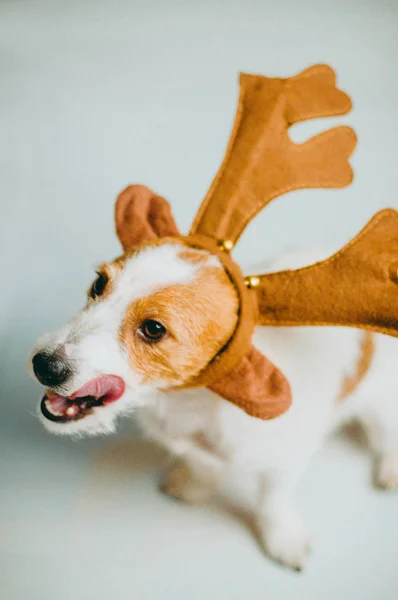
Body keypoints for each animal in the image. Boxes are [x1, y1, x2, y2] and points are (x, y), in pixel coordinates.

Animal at [29, 232, 398, 568]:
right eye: (98, 283)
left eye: (153, 329)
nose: (43, 365)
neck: (196, 401)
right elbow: (200, 462)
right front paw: (195, 484)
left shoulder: (287, 458)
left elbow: (274, 500)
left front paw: (283, 538)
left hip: (381, 400)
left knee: (386, 434)